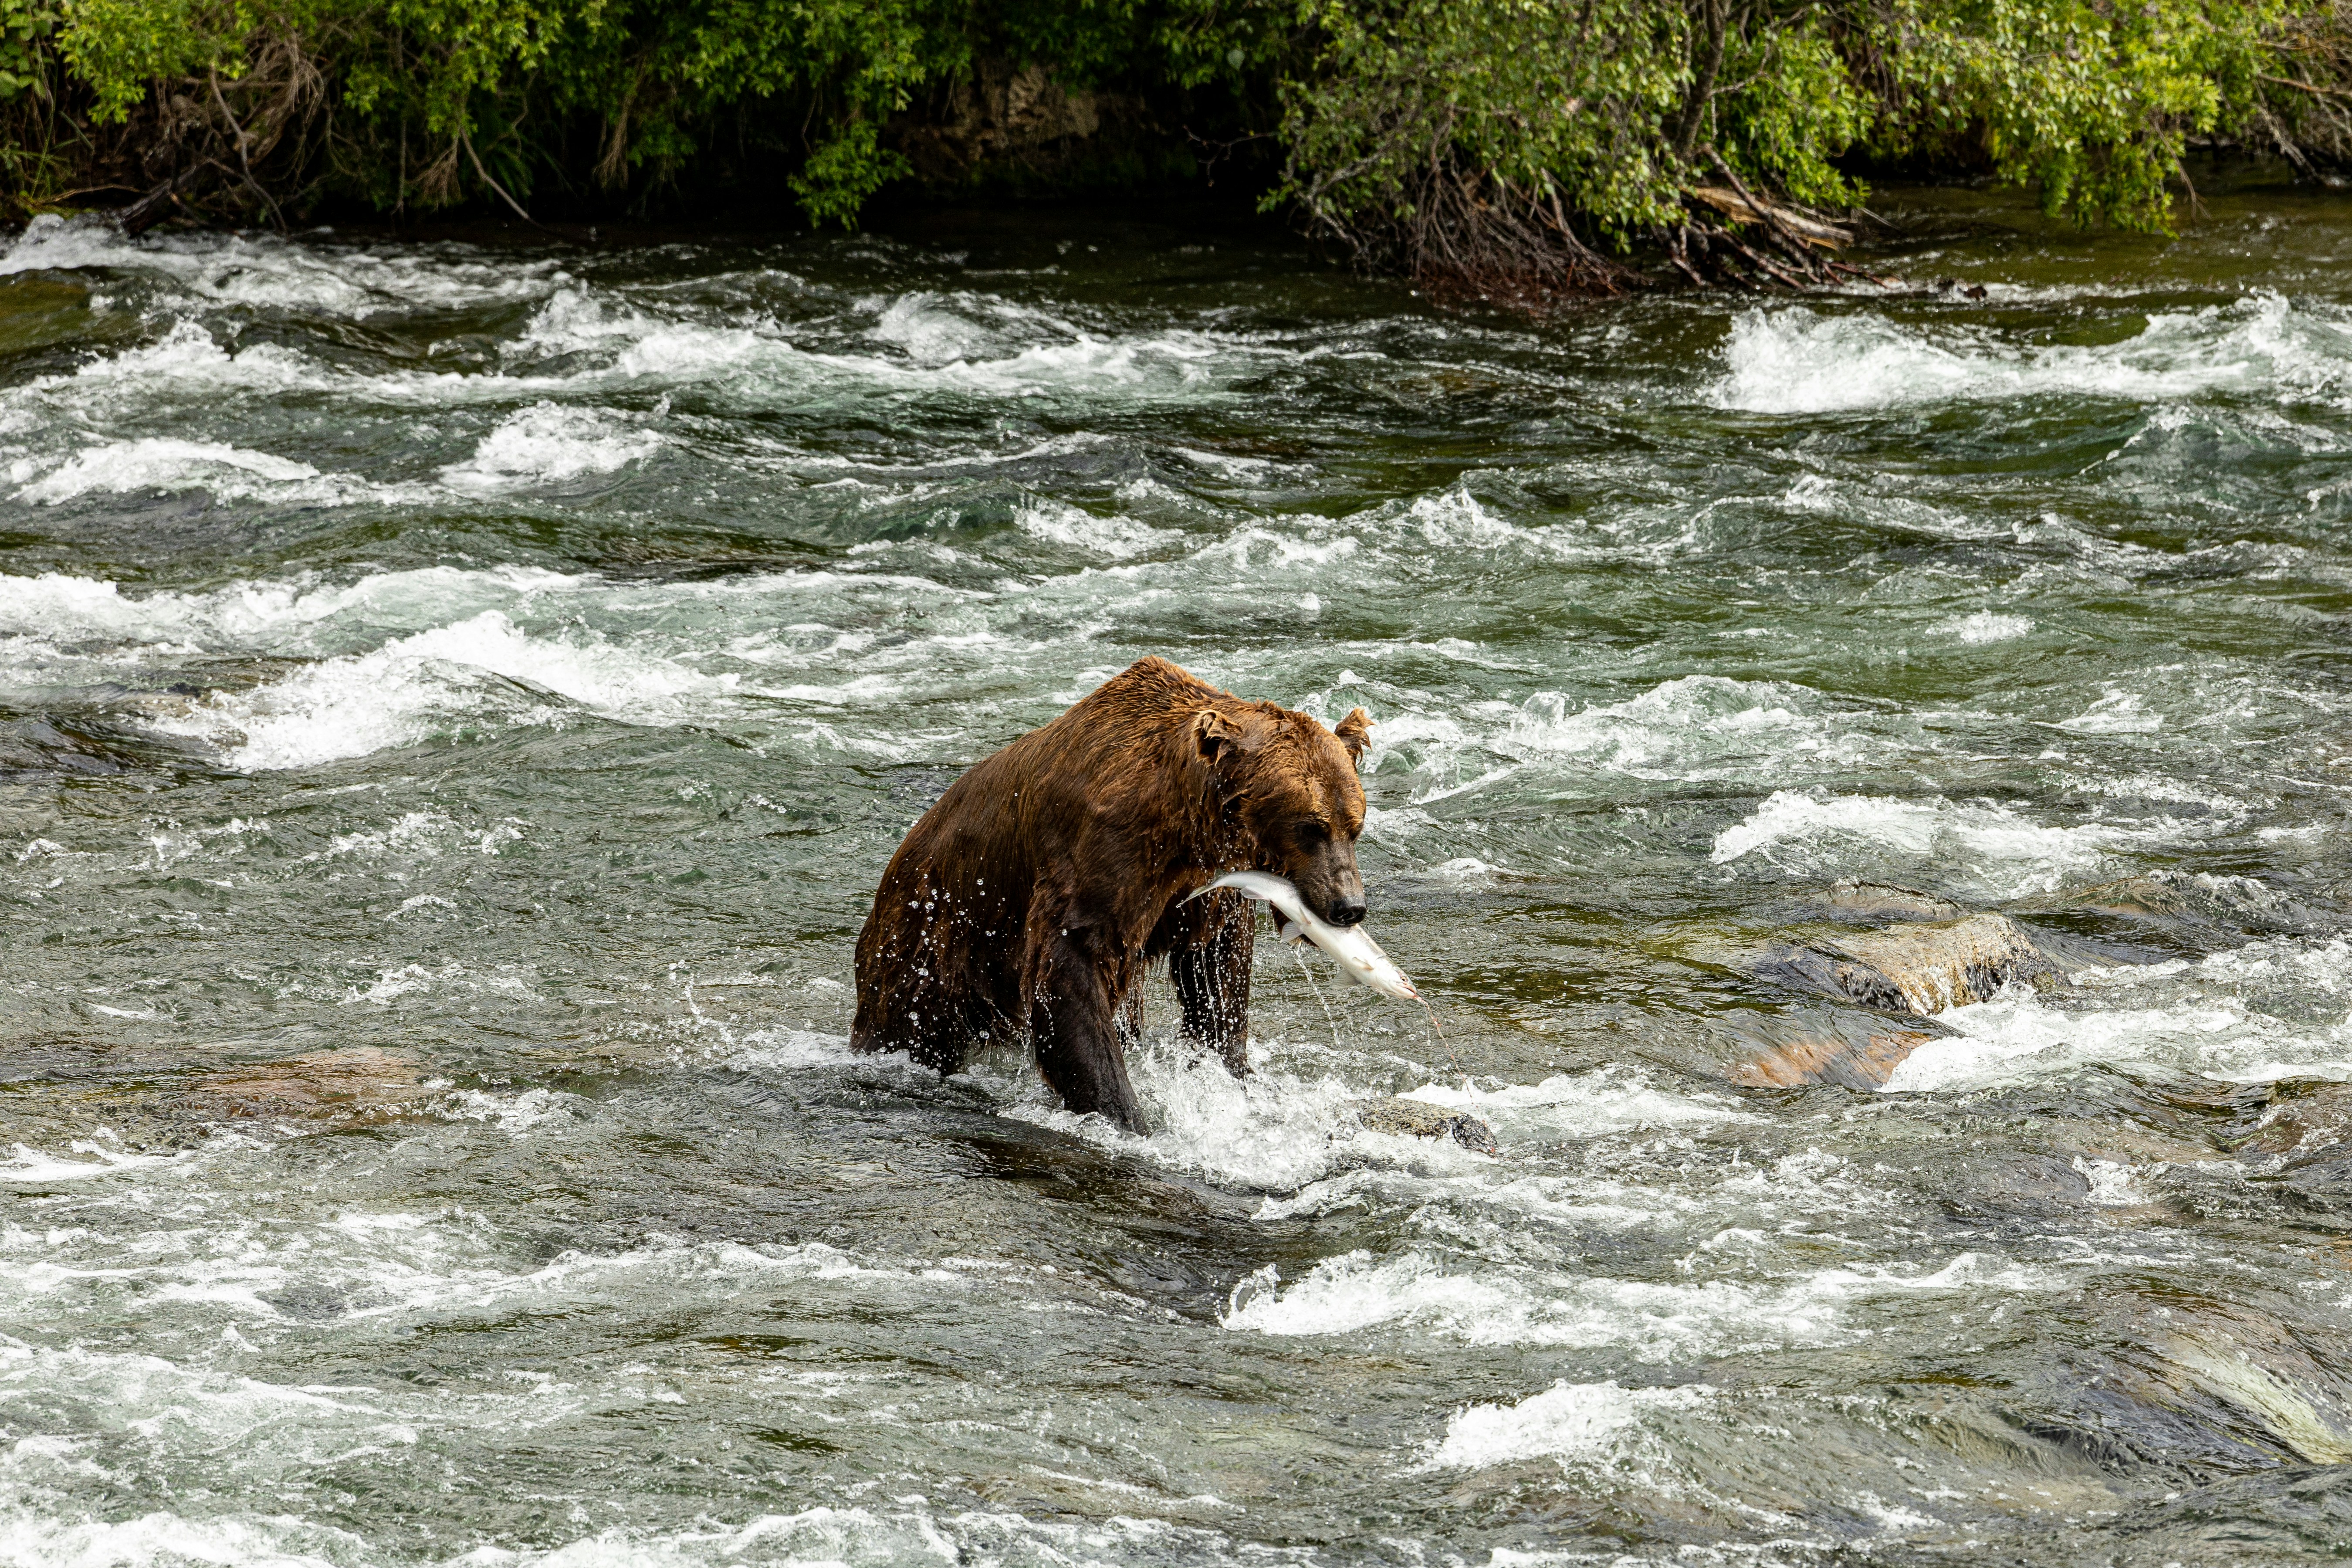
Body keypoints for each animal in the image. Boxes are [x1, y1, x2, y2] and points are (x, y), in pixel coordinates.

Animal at [849, 655, 1373, 1134]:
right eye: (1310, 827)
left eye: (1354, 826)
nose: (1348, 906)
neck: (1184, 819)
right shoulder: (1106, 852)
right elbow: (1072, 966)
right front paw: (1125, 1115)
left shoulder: (1204, 886)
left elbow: (1215, 976)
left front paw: (1230, 1074)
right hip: (930, 944)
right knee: (905, 1024)